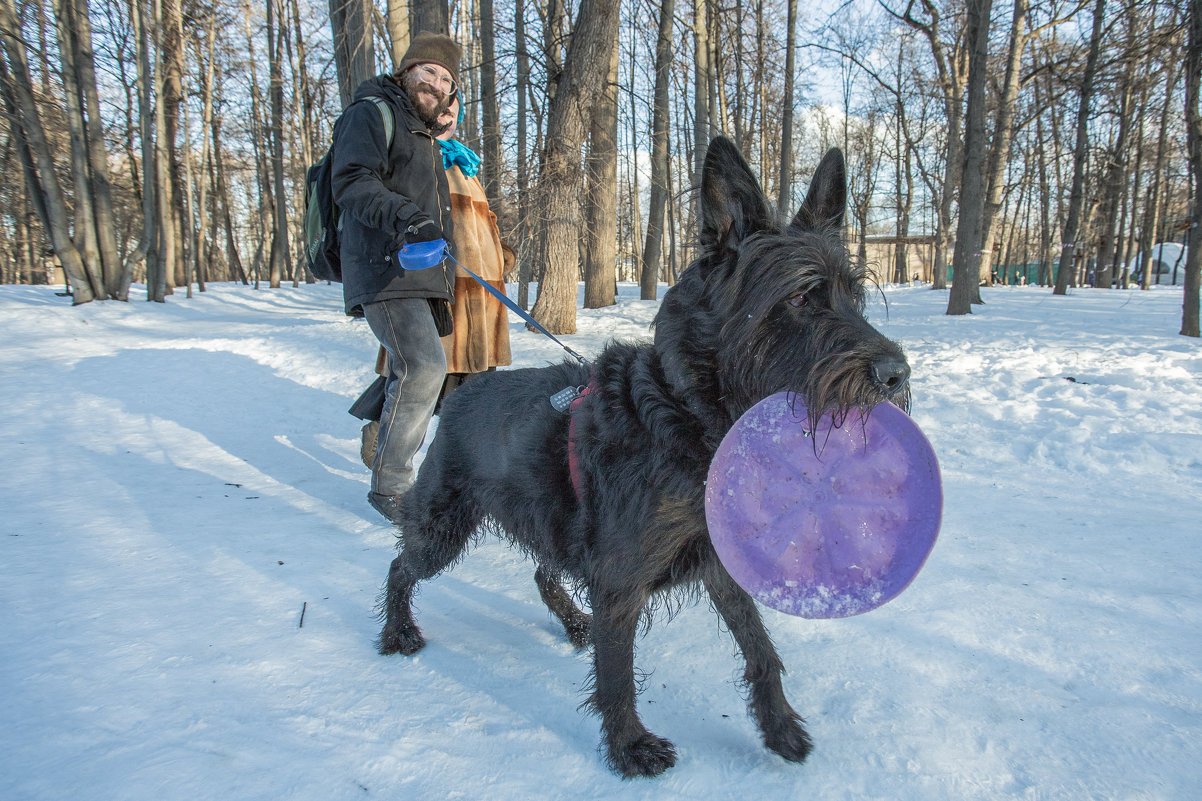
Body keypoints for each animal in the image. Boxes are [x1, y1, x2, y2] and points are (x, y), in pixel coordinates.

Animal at [379, 135, 903, 774]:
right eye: (802, 296)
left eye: (854, 295)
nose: (897, 375)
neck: (692, 416)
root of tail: (467, 387)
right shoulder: (621, 578)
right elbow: (618, 674)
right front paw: (629, 746)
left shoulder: (715, 562)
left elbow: (759, 647)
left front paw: (779, 726)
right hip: (445, 523)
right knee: (402, 566)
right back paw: (397, 632)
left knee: (541, 568)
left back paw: (572, 622)